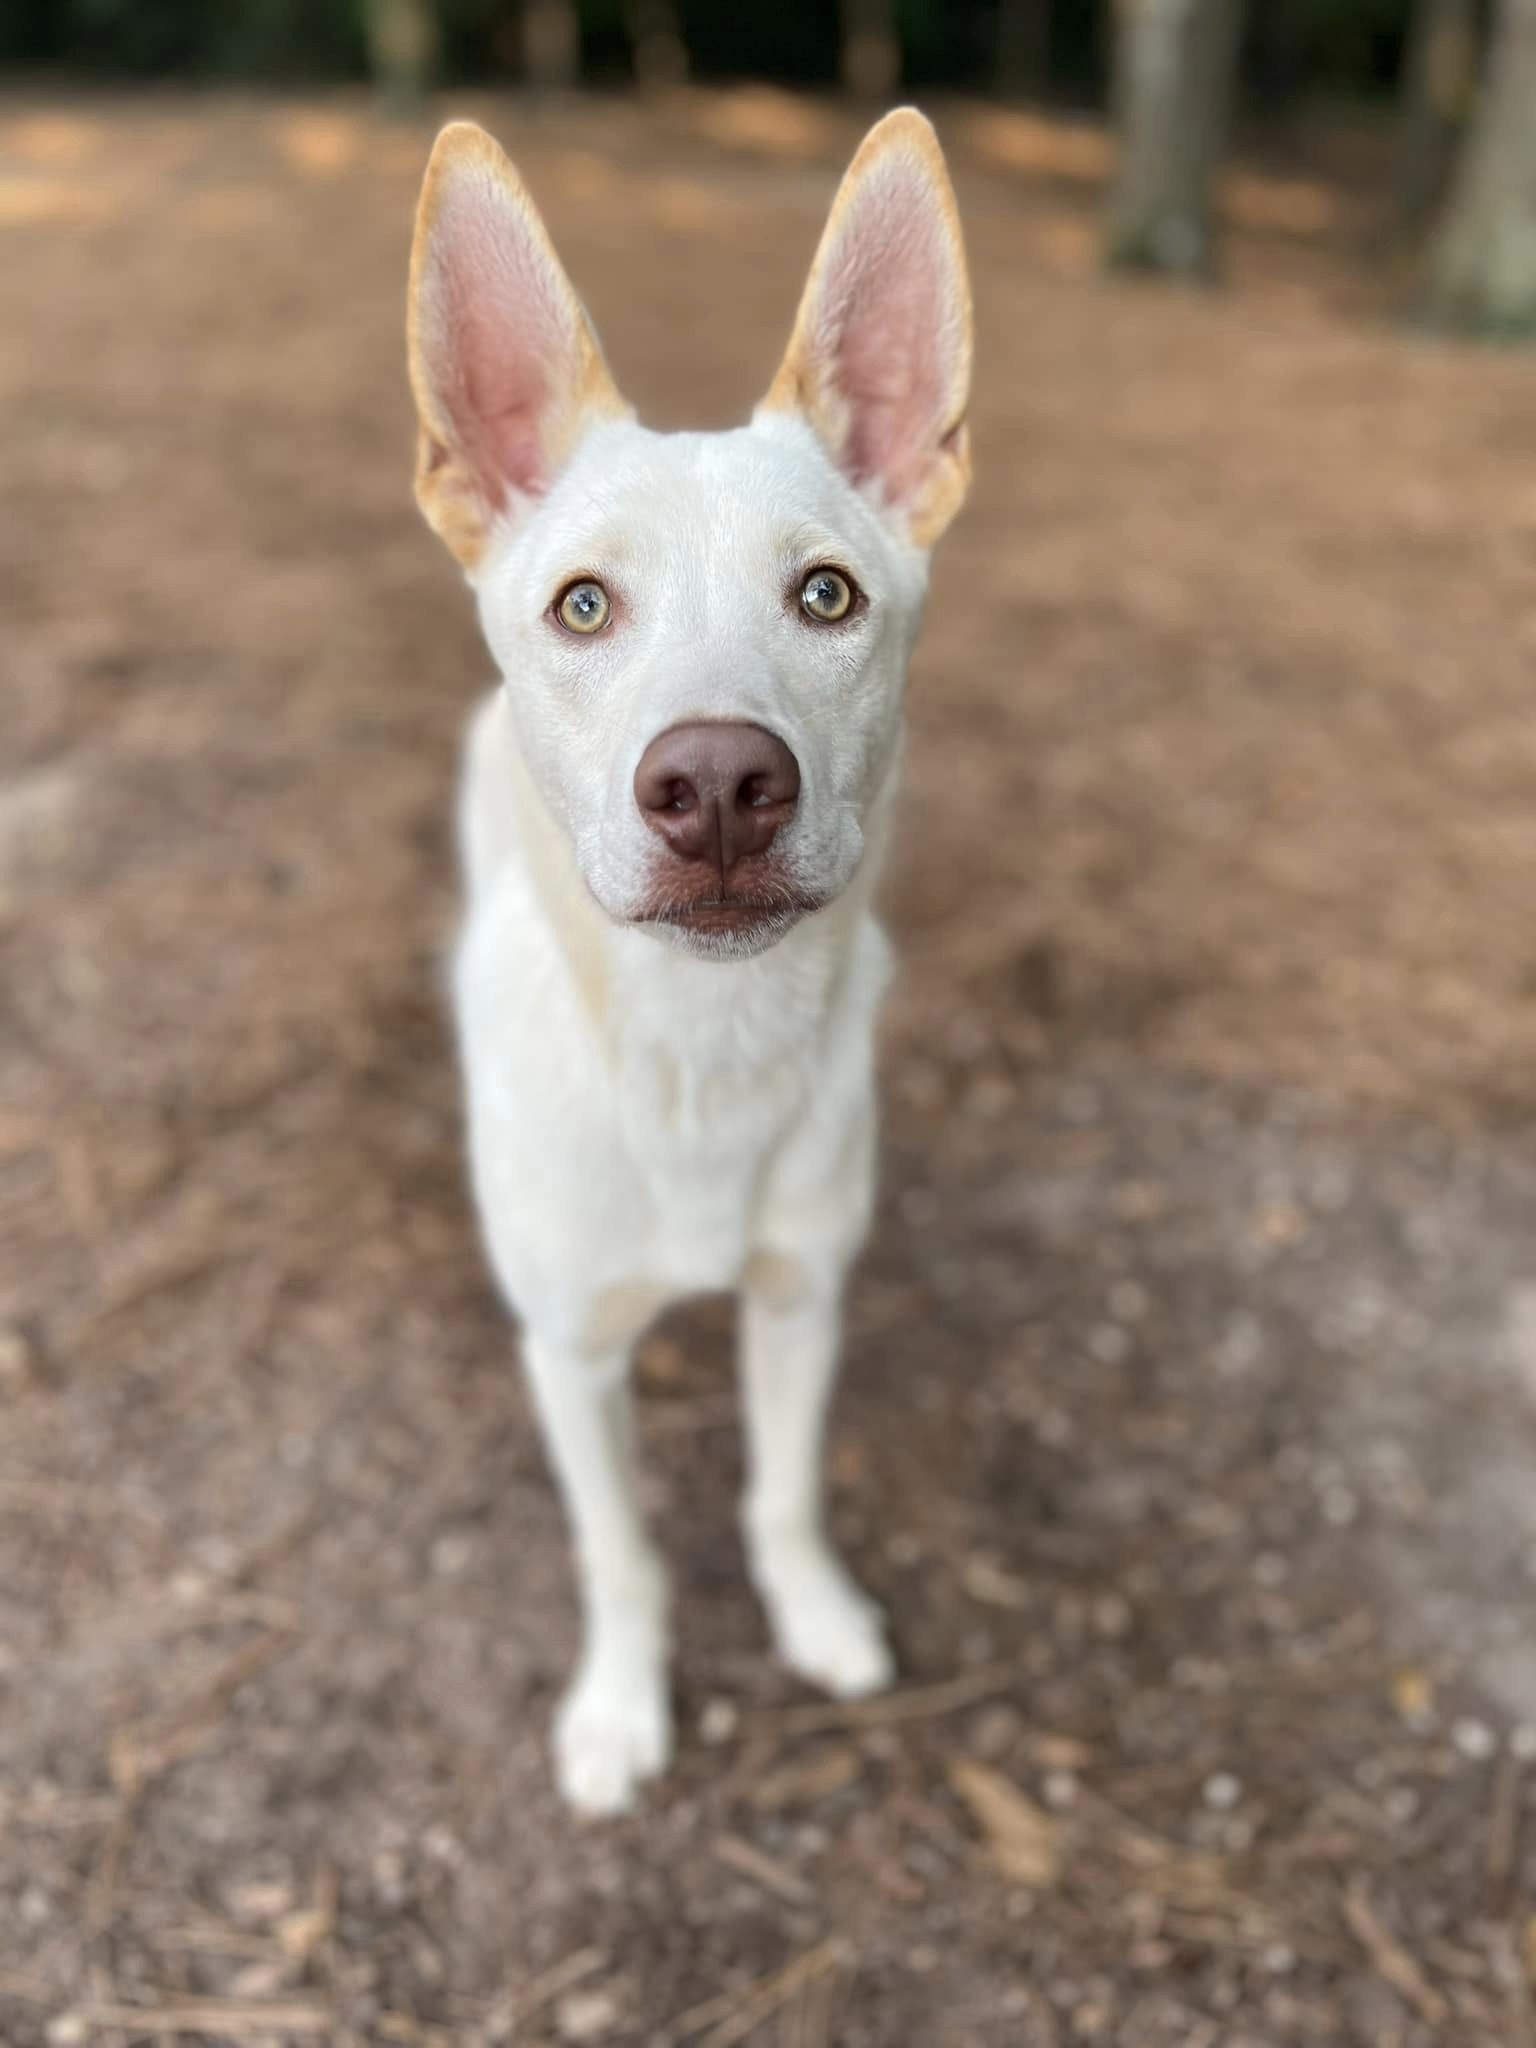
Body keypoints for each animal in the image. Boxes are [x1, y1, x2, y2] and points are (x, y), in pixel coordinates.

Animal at [409, 108, 974, 1810]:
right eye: (584, 605)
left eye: (828, 594)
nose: (720, 783)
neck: (700, 1057)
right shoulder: (571, 1355)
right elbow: (621, 1556)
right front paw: (617, 1712)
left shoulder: (800, 1299)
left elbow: (780, 1494)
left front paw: (819, 1617)